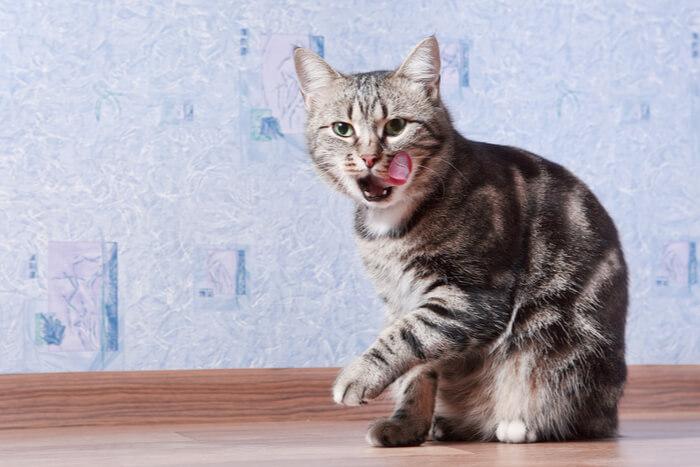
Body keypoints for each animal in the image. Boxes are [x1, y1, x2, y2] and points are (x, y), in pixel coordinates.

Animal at [292, 35, 628, 446]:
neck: (392, 226)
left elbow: (407, 336)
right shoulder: (400, 299)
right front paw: (406, 427)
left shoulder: (472, 295)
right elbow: (416, 370)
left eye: (396, 126)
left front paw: (359, 375)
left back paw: (520, 425)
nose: (369, 157)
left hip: (560, 344)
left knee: (569, 412)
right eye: (342, 129)